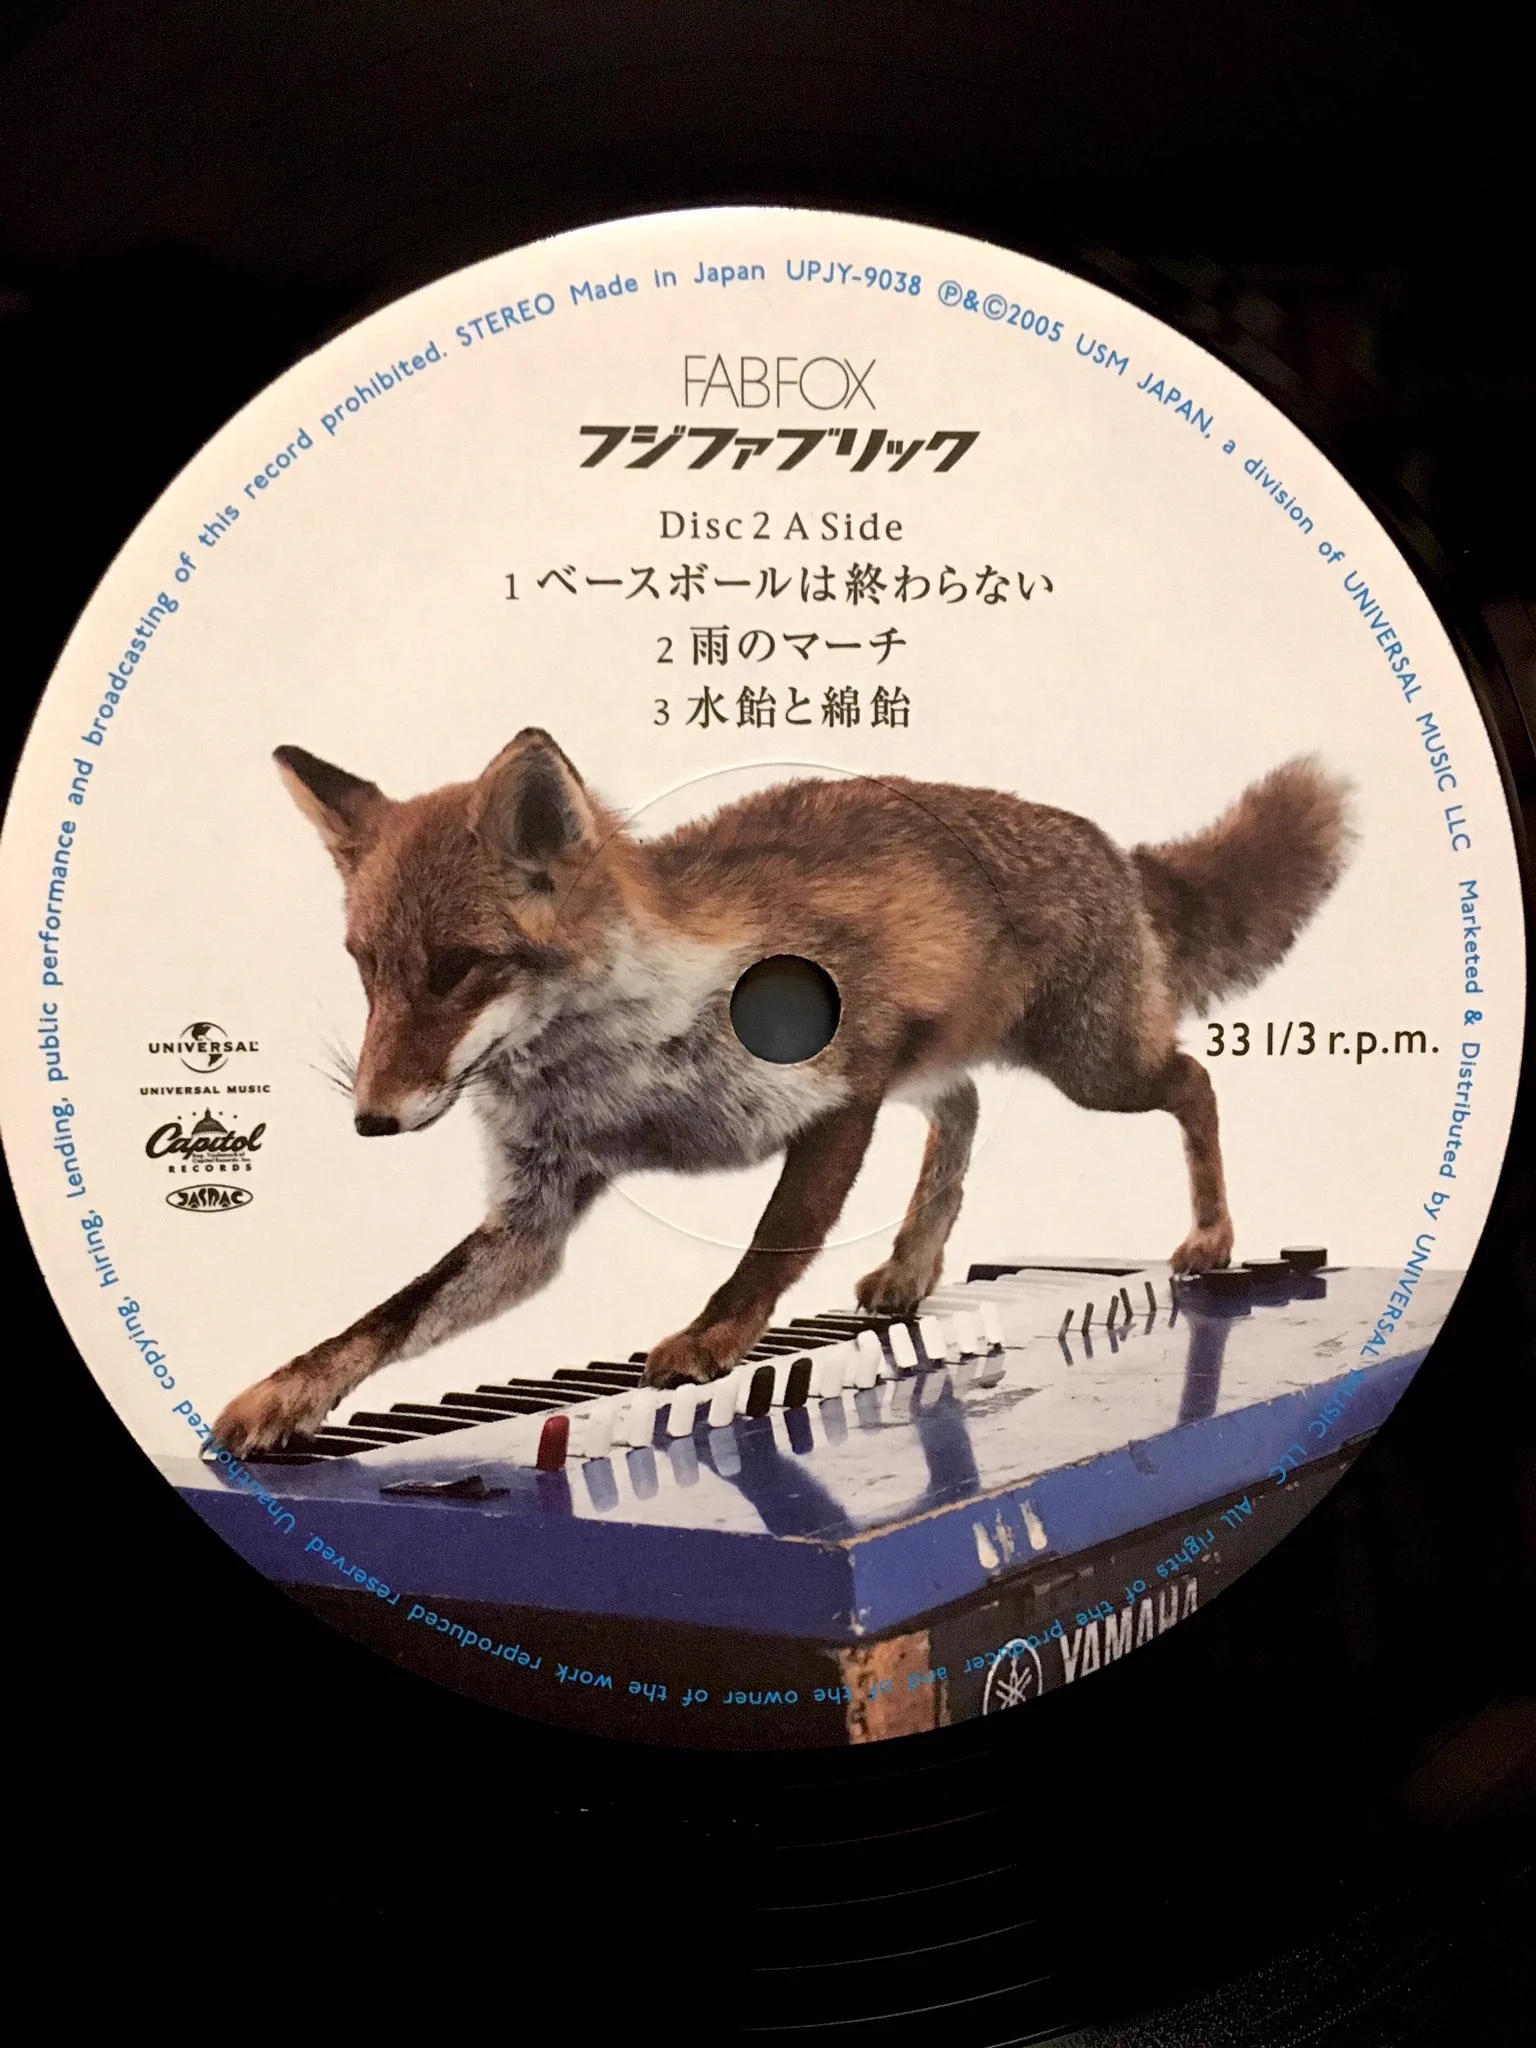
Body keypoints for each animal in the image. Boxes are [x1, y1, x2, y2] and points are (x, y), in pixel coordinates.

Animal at [211, 731, 1351, 1457]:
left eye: (458, 968)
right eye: (368, 969)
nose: (370, 1119)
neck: (620, 1083)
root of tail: (1109, 841)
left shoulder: (838, 1097)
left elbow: (774, 1238)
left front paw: (715, 1342)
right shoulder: (533, 1218)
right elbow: (388, 1318)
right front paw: (287, 1392)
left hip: (1093, 1067)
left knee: (1193, 1080)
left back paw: (1211, 1234)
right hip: (974, 1063)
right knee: (965, 1109)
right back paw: (913, 1265)